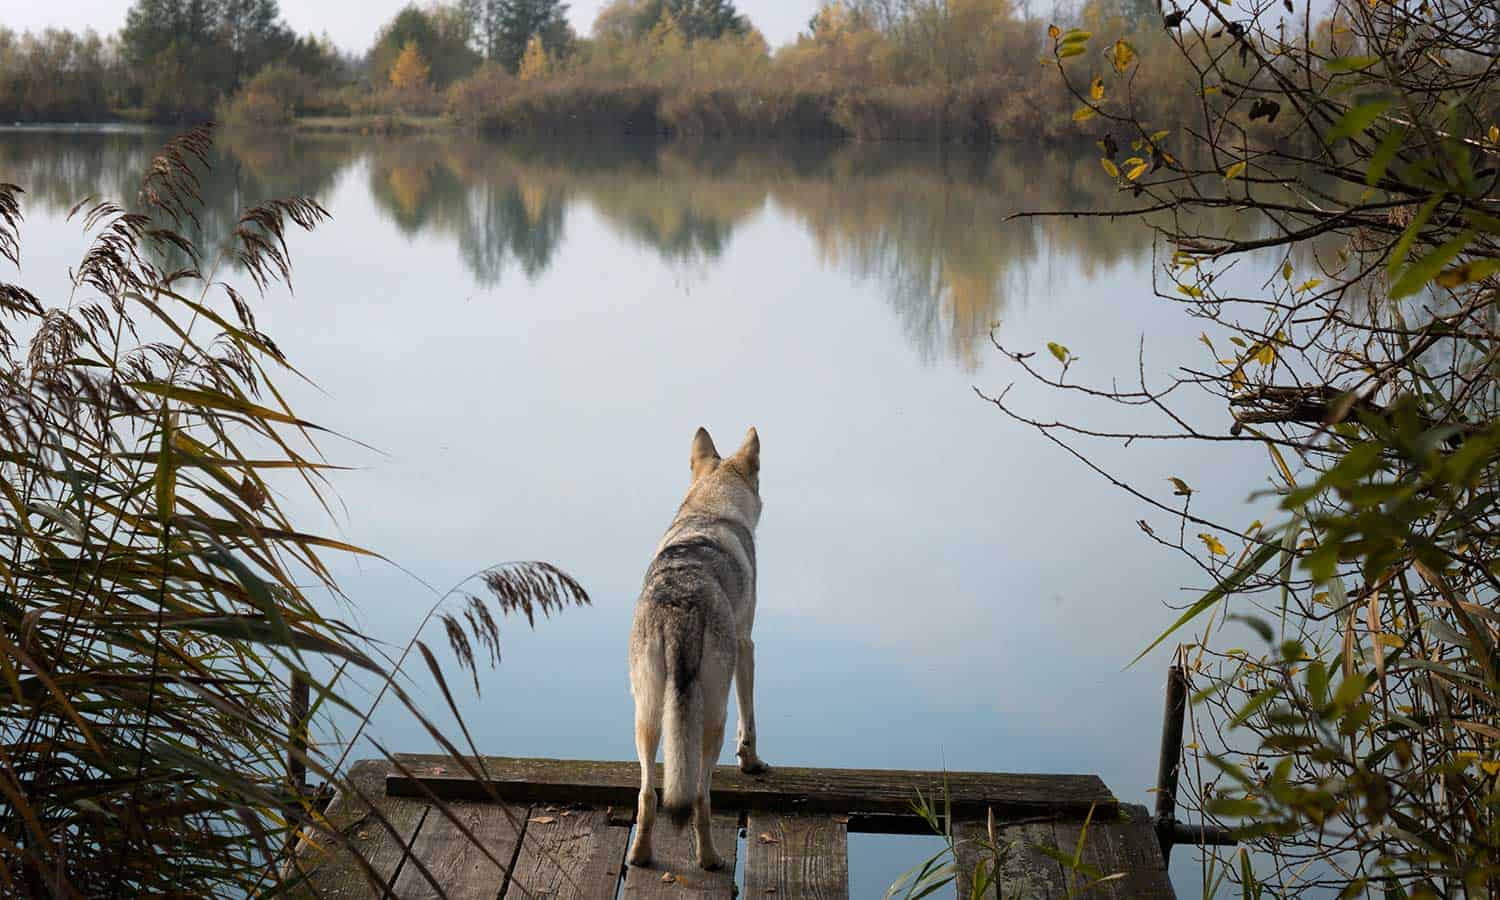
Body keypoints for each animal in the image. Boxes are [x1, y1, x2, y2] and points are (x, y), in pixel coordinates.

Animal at [627, 429, 768, 870]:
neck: (709, 511)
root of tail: (680, 610)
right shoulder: (746, 645)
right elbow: (749, 720)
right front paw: (752, 764)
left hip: (647, 716)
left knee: (648, 795)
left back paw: (640, 856)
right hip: (712, 719)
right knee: (701, 799)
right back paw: (709, 859)